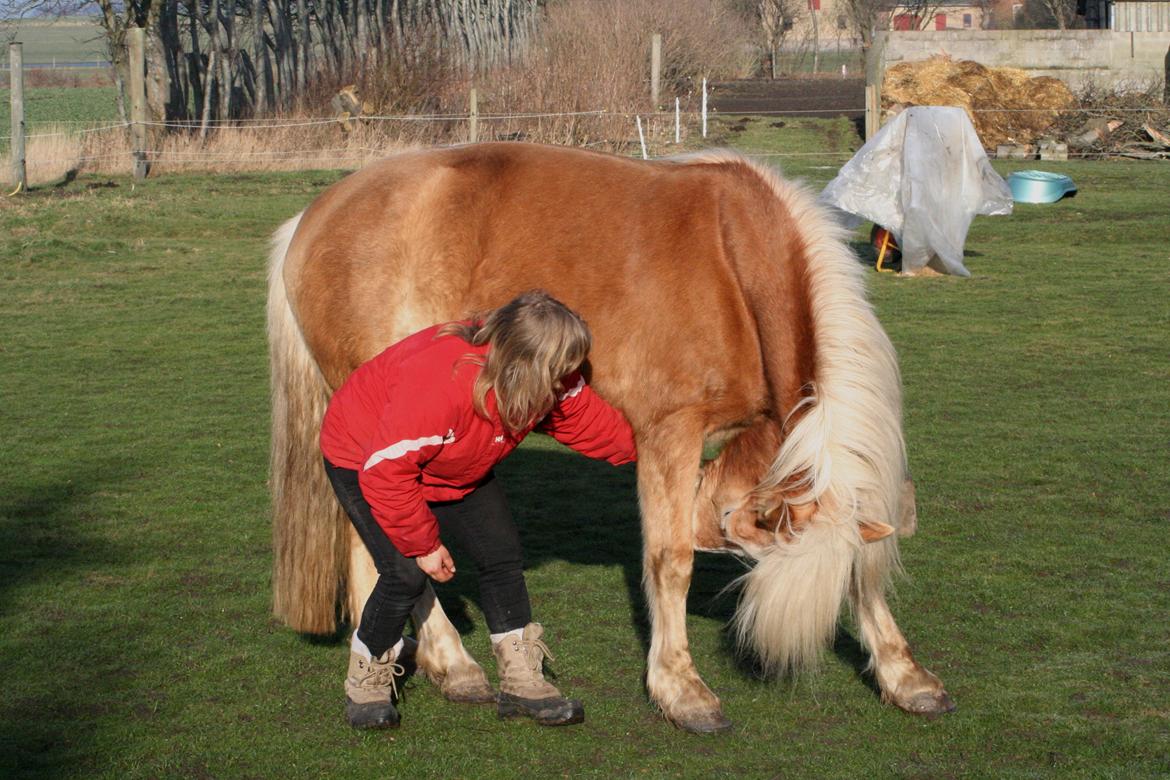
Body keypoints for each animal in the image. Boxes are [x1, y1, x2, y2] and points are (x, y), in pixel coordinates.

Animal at [269, 140, 954, 734]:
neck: (738, 263)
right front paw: (681, 689)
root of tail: (309, 218)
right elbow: (670, 561)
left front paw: (905, 675)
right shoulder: (669, 434)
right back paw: (451, 664)